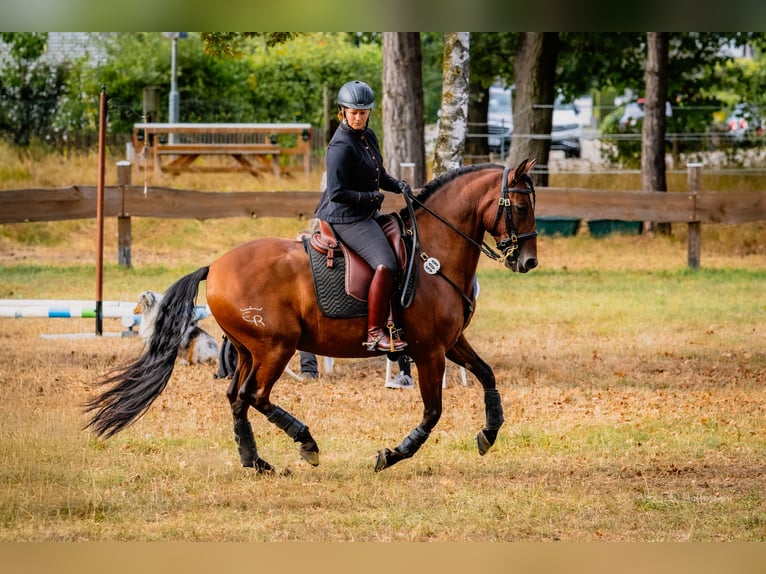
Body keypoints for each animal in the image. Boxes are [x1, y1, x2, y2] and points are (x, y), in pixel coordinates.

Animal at [84, 159, 538, 473]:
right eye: (518, 205)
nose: (529, 262)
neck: (432, 254)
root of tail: (215, 266)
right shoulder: (429, 351)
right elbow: (433, 412)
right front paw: (392, 454)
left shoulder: (451, 342)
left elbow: (487, 375)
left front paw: (489, 432)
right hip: (276, 347)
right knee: (255, 396)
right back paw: (306, 443)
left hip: (250, 350)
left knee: (237, 397)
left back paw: (255, 461)